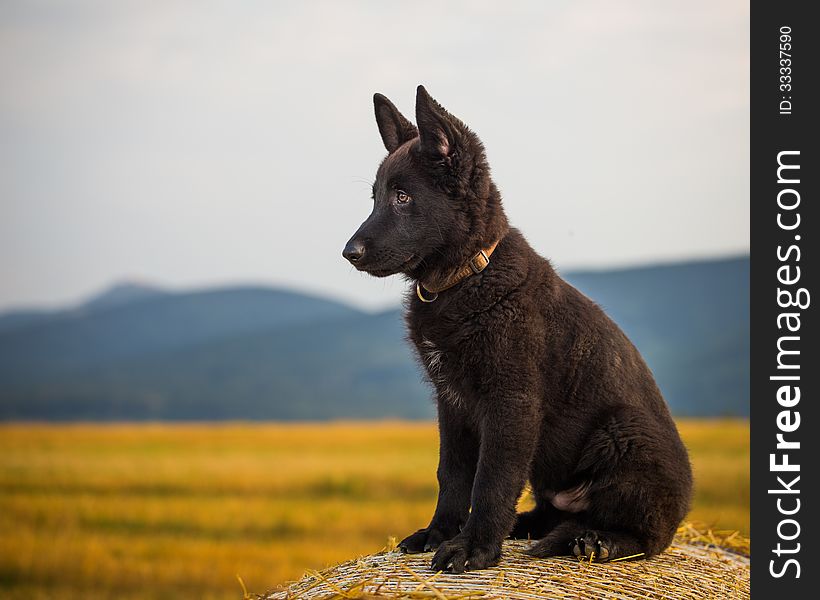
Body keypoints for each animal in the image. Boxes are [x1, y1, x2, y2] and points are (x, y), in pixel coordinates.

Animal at [342, 84, 692, 572]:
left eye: (403, 197)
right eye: (374, 197)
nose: (348, 253)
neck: (466, 276)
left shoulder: (511, 400)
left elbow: (492, 479)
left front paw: (473, 547)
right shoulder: (451, 402)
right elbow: (452, 476)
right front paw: (439, 533)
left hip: (624, 433)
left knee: (648, 534)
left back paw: (596, 542)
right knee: (554, 514)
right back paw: (528, 527)